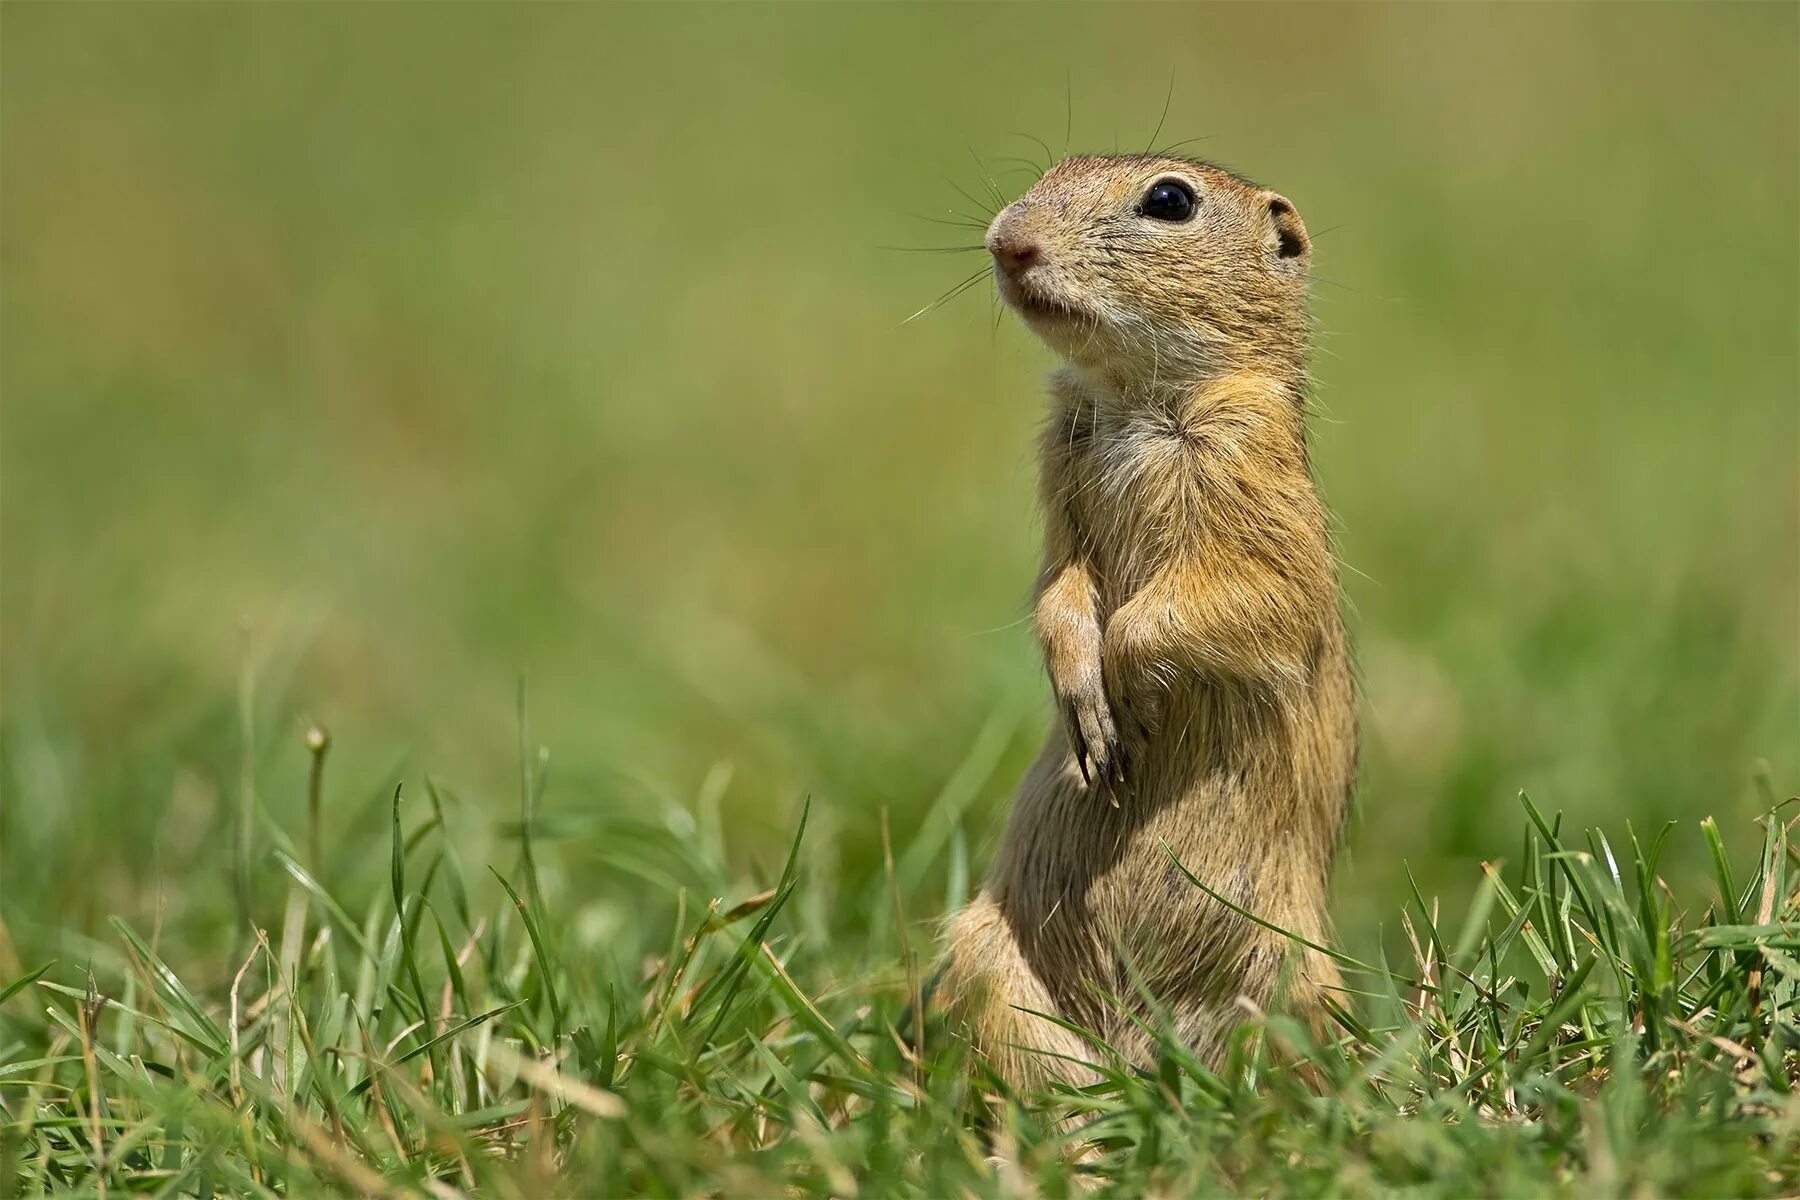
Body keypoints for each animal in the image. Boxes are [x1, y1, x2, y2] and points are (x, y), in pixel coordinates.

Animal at [943, 154, 1353, 1093]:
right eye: (1051, 169)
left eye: (1170, 200)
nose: (1007, 240)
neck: (1133, 395)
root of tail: (1142, 1046)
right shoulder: (1060, 473)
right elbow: (1060, 592)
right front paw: (1087, 711)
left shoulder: (1255, 481)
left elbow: (1226, 601)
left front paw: (1120, 705)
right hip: (985, 958)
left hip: (1297, 983)